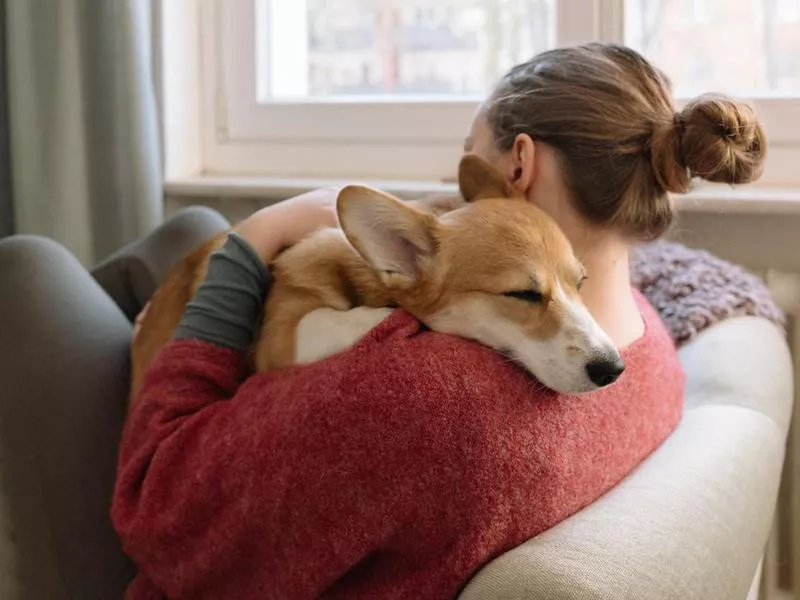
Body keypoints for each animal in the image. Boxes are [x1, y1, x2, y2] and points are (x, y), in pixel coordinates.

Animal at [131, 155, 620, 408]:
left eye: (580, 282)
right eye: (522, 294)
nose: (613, 369)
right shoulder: (281, 333)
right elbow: (338, 320)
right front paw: (390, 317)